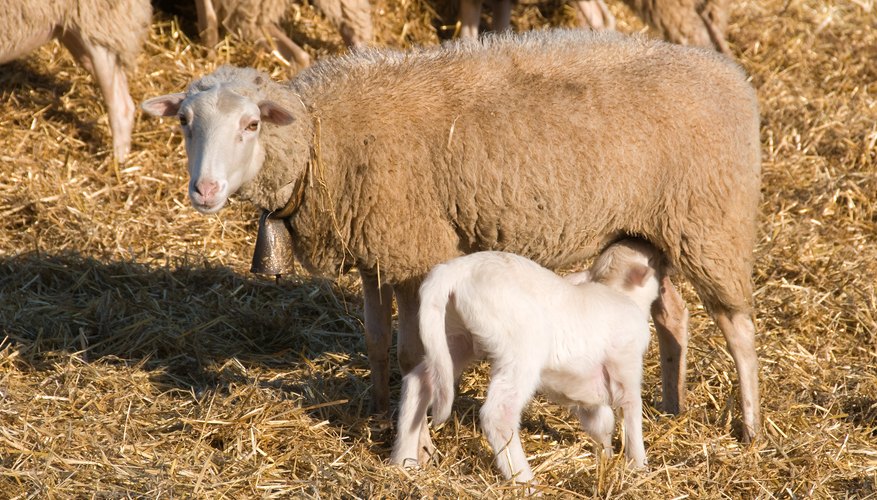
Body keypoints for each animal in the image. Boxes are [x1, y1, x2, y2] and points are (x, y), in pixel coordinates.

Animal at [140, 27, 764, 442]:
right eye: (185, 122)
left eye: (251, 124)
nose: (204, 190)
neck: (321, 143)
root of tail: (734, 78)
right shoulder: (375, 245)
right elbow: (375, 337)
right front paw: (375, 404)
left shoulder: (414, 246)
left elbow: (413, 348)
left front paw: (412, 420)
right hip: (658, 228)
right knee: (673, 314)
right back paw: (672, 406)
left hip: (711, 221)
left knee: (738, 329)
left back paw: (750, 427)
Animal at [394, 240, 660, 486]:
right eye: (652, 259)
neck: (619, 293)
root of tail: (453, 271)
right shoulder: (626, 364)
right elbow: (631, 411)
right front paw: (638, 466)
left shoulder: (585, 390)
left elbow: (602, 422)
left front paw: (605, 458)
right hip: (519, 348)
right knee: (498, 415)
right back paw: (525, 481)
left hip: (452, 336)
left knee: (420, 381)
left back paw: (404, 463)